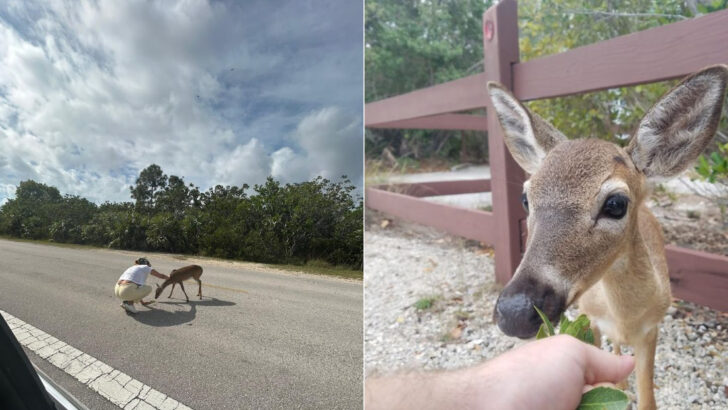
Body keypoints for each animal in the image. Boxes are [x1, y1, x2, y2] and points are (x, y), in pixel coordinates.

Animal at [486, 65, 728, 410]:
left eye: (616, 204)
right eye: (525, 199)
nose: (514, 312)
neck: (625, 317)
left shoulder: (652, 330)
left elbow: (648, 399)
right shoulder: (590, 320)